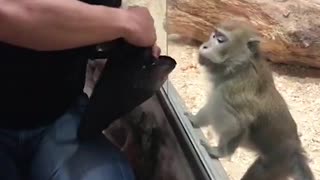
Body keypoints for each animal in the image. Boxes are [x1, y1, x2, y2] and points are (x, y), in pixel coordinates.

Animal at [185, 19, 316, 180]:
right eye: (213, 35)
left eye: (221, 40)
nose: (205, 46)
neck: (239, 66)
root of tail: (296, 152)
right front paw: (195, 119)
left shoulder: (233, 89)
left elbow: (238, 123)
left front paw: (220, 152)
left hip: (276, 163)